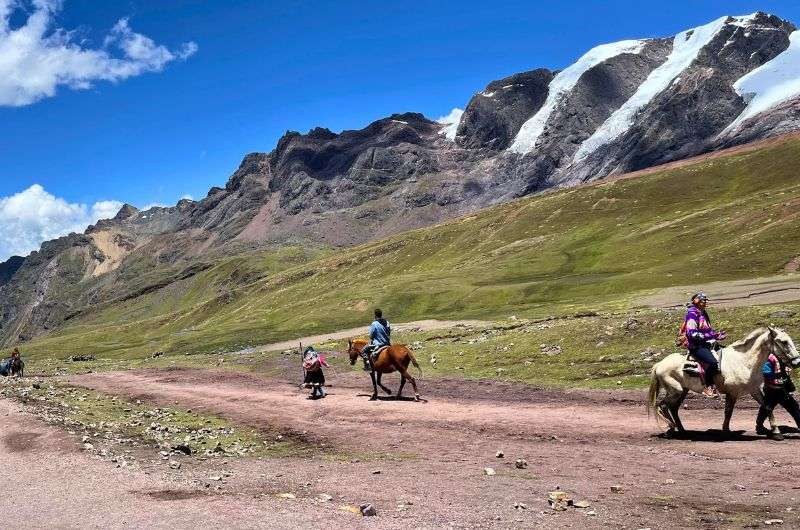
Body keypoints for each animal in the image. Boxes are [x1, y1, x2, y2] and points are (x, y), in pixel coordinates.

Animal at [648, 326, 800, 434]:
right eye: (784, 342)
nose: (797, 362)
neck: (744, 361)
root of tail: (659, 364)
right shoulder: (732, 393)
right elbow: (728, 411)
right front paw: (726, 431)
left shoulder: (754, 390)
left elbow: (767, 406)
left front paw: (776, 431)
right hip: (676, 390)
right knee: (663, 405)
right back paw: (671, 428)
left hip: (683, 391)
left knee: (673, 408)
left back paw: (681, 429)